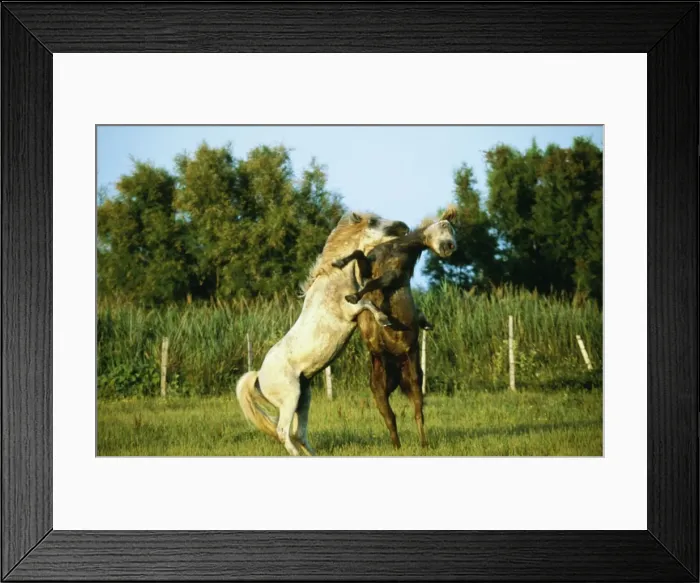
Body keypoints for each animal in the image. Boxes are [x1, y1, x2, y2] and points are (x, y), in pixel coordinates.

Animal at [235, 211, 409, 456]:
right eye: (374, 222)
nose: (404, 227)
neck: (335, 278)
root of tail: (259, 376)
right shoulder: (350, 311)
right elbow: (367, 304)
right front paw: (386, 320)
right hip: (290, 399)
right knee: (283, 432)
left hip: (304, 399)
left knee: (298, 433)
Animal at [331, 206, 458, 448]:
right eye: (445, 225)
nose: (450, 247)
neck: (396, 249)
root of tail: (398, 372)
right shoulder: (368, 266)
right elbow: (358, 256)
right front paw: (339, 263)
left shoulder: (392, 276)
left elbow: (374, 283)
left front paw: (354, 297)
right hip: (379, 390)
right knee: (390, 418)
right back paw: (396, 446)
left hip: (415, 380)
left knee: (418, 413)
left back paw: (423, 444)